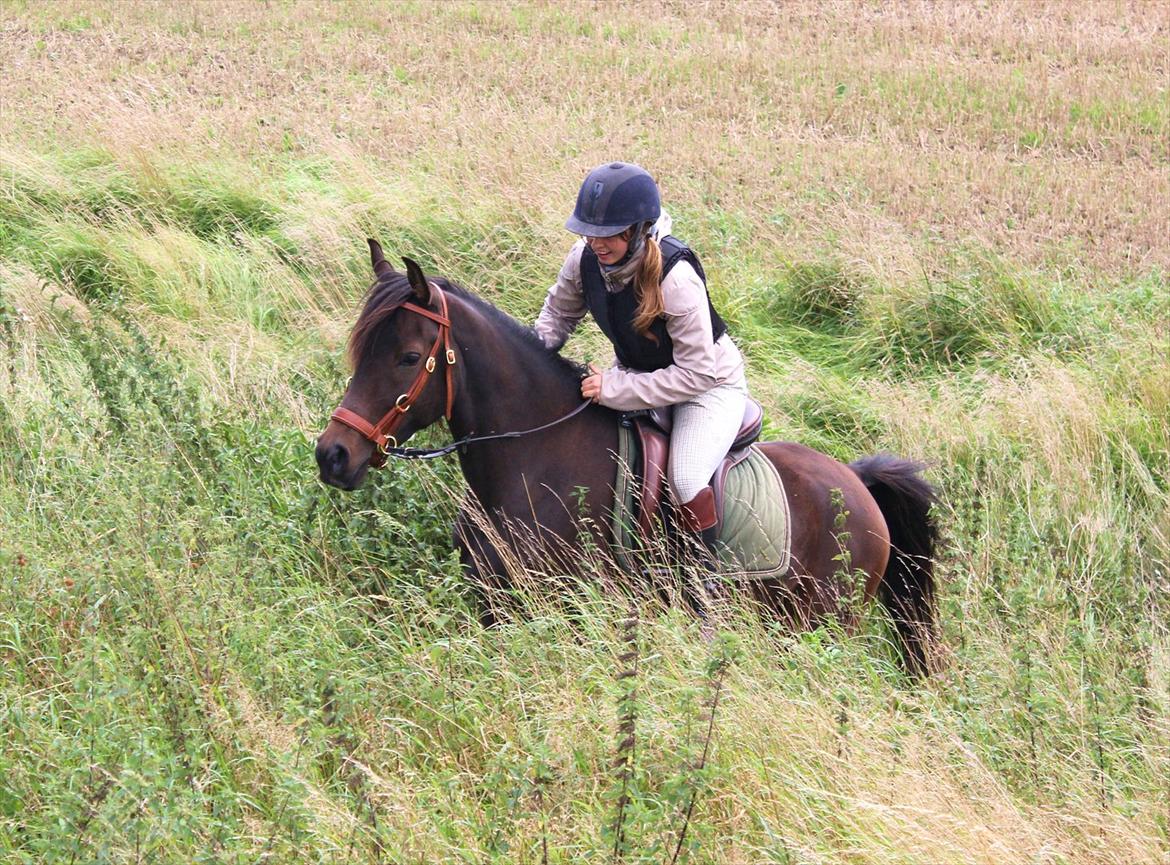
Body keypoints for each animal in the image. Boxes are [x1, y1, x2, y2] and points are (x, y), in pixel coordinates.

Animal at [313, 239, 940, 674]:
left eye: (407, 356)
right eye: (361, 350)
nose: (333, 456)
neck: (536, 455)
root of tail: (857, 484)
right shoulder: (496, 607)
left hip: (821, 626)